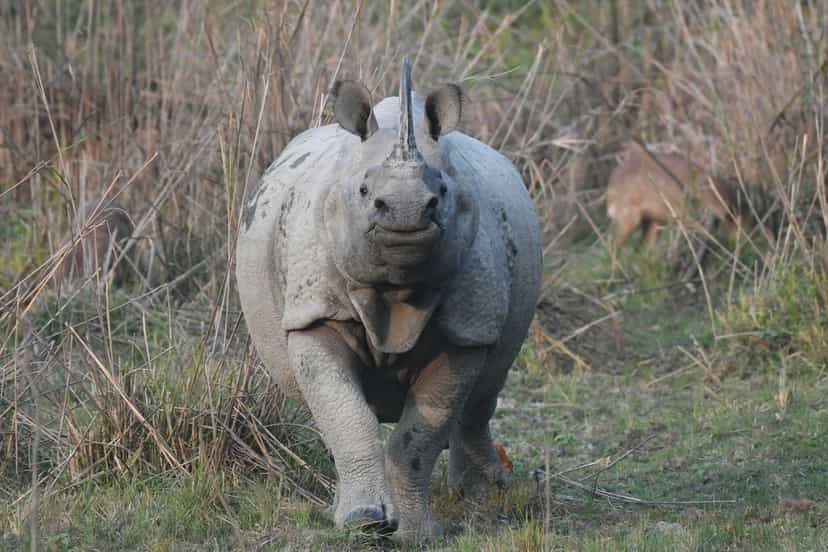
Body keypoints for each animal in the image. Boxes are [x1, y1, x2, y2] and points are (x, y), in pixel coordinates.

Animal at [236, 58, 542, 542]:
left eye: (442, 193)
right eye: (364, 193)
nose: (406, 212)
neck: (397, 291)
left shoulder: (466, 329)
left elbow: (417, 436)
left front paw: (418, 534)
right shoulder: (314, 314)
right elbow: (348, 416)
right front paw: (364, 522)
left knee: (484, 393)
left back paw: (483, 496)